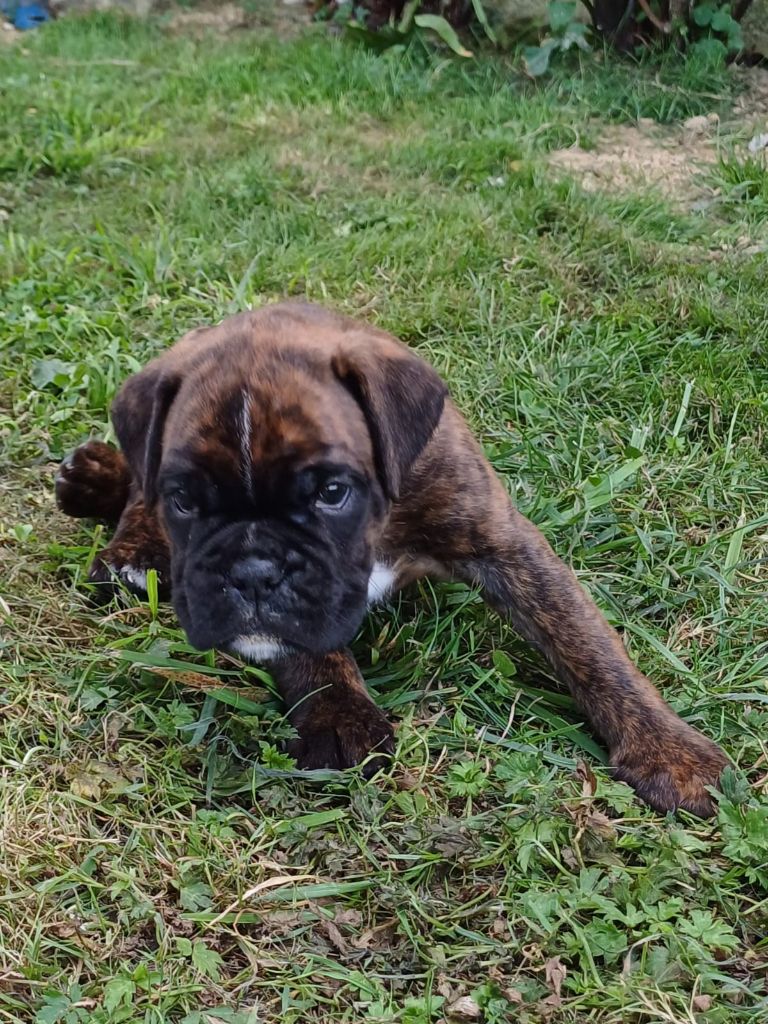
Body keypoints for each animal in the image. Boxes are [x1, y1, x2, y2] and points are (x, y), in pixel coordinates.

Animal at [55, 302, 727, 815]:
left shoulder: (504, 543)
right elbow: (311, 649)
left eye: (331, 492)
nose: (252, 573)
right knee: (136, 487)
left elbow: (587, 642)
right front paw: (341, 714)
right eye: (185, 502)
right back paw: (122, 534)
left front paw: (666, 748)